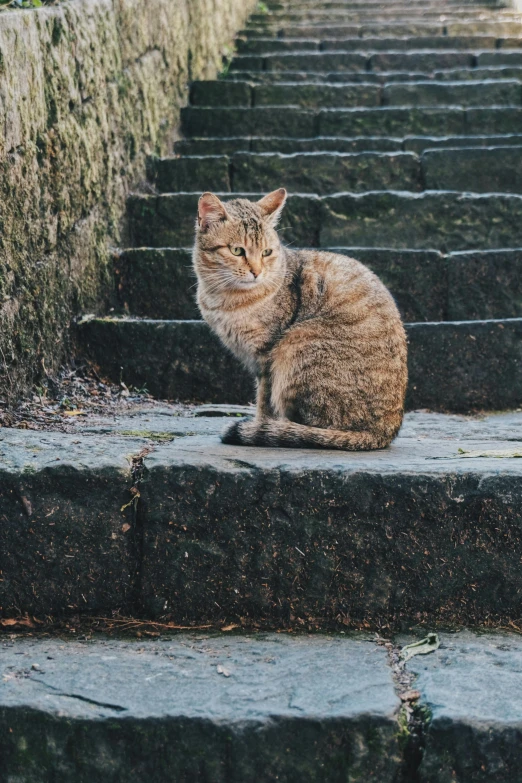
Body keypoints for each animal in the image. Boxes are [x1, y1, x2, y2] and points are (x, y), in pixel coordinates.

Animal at [191, 186, 406, 450]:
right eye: (237, 250)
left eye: (266, 252)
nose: (257, 272)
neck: (224, 297)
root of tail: (384, 432)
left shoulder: (267, 355)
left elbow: (264, 401)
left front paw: (259, 426)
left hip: (297, 344)